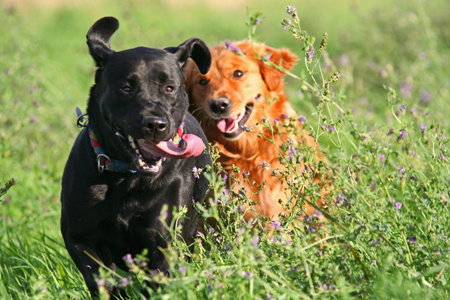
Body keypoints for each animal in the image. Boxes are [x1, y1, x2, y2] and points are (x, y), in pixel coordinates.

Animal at [60, 17, 212, 298]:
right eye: (126, 87)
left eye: (169, 88)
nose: (154, 124)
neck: (127, 179)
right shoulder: (79, 235)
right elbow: (99, 279)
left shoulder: (165, 240)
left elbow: (156, 282)